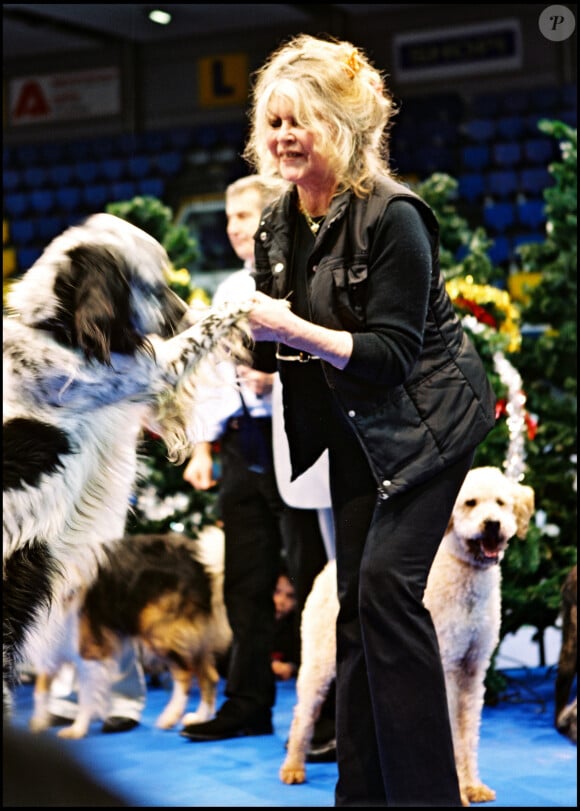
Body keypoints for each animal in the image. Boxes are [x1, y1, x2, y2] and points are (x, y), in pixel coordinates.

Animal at [2, 211, 249, 712]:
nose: (183, 311)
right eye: (153, 285)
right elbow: (207, 329)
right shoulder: (149, 370)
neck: (56, 325)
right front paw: (246, 300)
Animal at [30, 528, 231, 736]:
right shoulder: (48, 648)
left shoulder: (90, 650)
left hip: (161, 631)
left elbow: (86, 695)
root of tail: (201, 563)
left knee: (185, 674)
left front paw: (77, 730)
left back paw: (170, 716)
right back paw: (199, 718)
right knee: (210, 676)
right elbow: (40, 690)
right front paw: (38, 723)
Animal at [280, 466, 536, 808]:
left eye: (501, 503)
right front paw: (457, 791)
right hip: (318, 661)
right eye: (470, 503)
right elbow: (449, 728)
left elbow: (468, 734)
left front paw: (473, 785)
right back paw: (293, 767)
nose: (492, 525)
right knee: (302, 716)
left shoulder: (473, 670)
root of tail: (329, 569)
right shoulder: (444, 663)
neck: (464, 579)